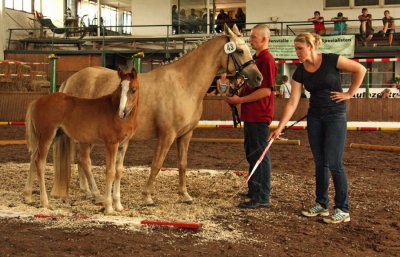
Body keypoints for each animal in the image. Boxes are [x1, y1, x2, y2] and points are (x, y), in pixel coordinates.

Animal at [25, 67, 140, 213]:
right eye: (120, 89)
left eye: (133, 89)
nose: (122, 112)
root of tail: (36, 102)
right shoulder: (111, 144)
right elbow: (110, 171)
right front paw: (109, 207)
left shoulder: (123, 144)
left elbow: (119, 171)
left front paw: (118, 205)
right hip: (46, 136)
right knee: (40, 162)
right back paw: (45, 202)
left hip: (52, 136)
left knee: (33, 159)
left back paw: (28, 197)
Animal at [52, 24, 262, 204]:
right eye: (240, 51)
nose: (258, 78)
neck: (184, 83)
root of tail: (71, 80)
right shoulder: (167, 135)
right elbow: (157, 164)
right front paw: (147, 196)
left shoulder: (186, 134)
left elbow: (182, 164)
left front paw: (184, 195)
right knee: (84, 160)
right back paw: (96, 193)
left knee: (81, 160)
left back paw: (87, 191)